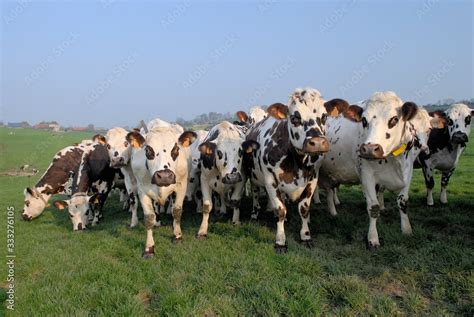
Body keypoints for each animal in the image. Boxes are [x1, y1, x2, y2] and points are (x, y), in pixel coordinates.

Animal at [126, 122, 196, 258]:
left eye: (176, 149)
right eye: (148, 150)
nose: (164, 176)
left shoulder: (181, 186)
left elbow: (177, 211)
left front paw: (177, 236)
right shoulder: (142, 190)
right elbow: (148, 218)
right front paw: (149, 249)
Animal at [243, 87, 336, 252]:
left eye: (324, 116)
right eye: (294, 118)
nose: (318, 143)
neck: (297, 162)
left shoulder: (313, 178)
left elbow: (303, 208)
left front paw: (306, 237)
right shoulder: (270, 180)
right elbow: (281, 209)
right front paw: (280, 241)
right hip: (253, 176)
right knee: (255, 194)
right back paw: (255, 214)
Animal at [336, 92, 440, 248]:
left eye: (394, 119)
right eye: (364, 120)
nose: (370, 149)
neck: (392, 159)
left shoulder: (408, 173)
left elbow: (403, 202)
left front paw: (406, 229)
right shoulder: (367, 176)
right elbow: (373, 207)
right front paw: (373, 238)